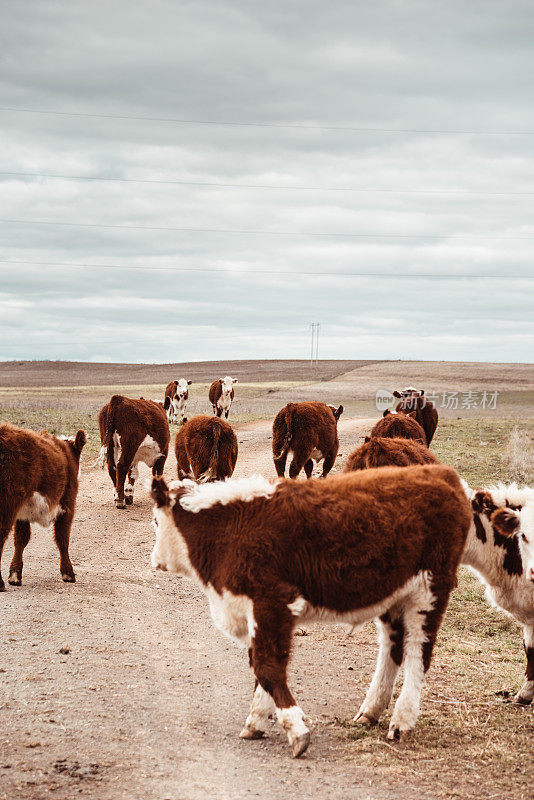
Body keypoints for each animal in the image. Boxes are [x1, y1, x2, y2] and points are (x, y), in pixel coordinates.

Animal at [0, 422, 85, 592]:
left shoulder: (23, 513)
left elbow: (21, 539)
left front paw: (15, 574)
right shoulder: (67, 506)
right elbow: (62, 538)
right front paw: (68, 572)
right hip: (7, 506)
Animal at [151, 462, 474, 756]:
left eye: (155, 522)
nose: (155, 560)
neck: (231, 527)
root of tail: (442, 473)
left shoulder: (273, 603)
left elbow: (267, 667)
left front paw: (295, 730)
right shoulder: (255, 612)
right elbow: (260, 666)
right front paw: (257, 721)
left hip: (430, 590)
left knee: (419, 651)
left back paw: (402, 721)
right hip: (394, 594)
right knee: (393, 647)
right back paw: (369, 711)